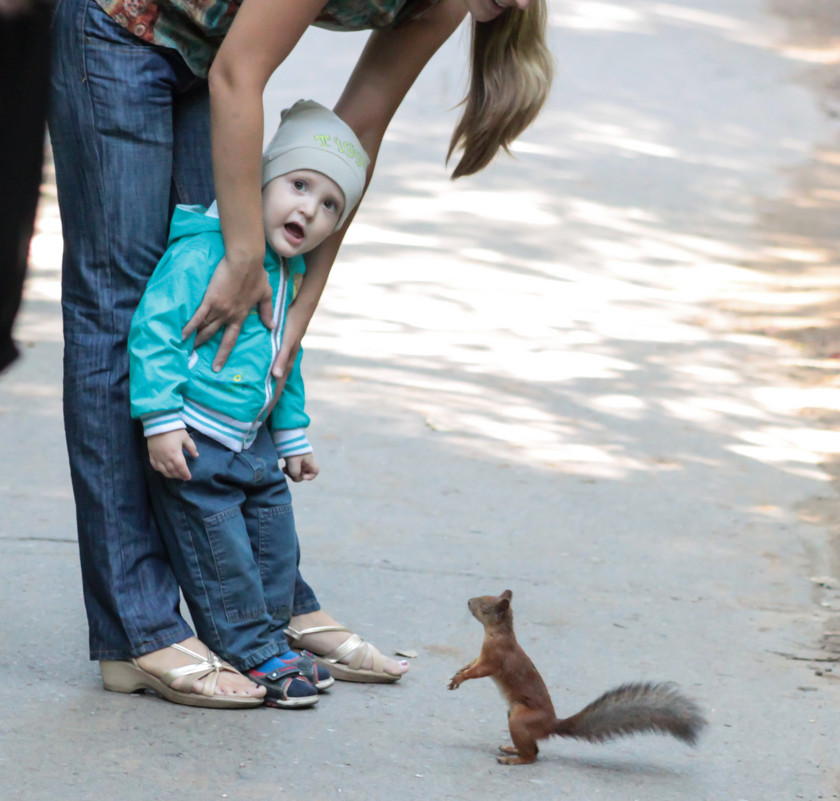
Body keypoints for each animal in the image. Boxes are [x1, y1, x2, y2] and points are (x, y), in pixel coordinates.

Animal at [450, 588, 704, 764]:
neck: (498, 633)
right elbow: (472, 663)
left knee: (533, 755)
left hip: (520, 719)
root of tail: (551, 725)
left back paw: (514, 759)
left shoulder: (494, 658)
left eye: (485, 607)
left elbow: (479, 671)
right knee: (535, 747)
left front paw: (461, 678)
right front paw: (459, 671)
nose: (468, 601)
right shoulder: (482, 655)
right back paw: (512, 749)